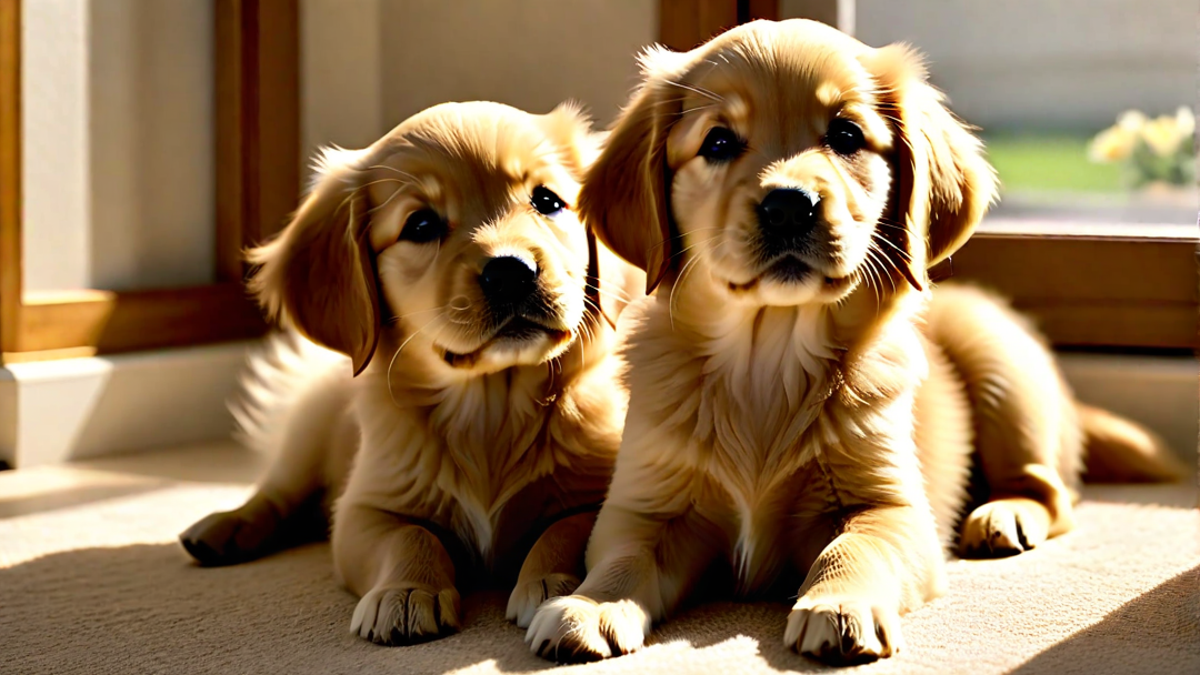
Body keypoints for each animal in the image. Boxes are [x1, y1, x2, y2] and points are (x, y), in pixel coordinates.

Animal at [175, 99, 648, 638]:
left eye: (547, 201)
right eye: (420, 226)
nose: (511, 272)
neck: (490, 410)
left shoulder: (597, 491)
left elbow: (564, 528)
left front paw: (550, 584)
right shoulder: (366, 509)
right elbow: (412, 538)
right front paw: (404, 593)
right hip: (309, 427)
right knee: (277, 492)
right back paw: (224, 527)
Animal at [525, 18, 1180, 662]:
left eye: (845, 135)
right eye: (717, 143)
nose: (790, 206)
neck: (767, 360)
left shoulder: (889, 506)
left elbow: (853, 546)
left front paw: (839, 606)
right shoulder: (646, 506)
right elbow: (622, 558)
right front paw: (590, 606)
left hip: (1002, 367)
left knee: (1052, 489)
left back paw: (1004, 516)